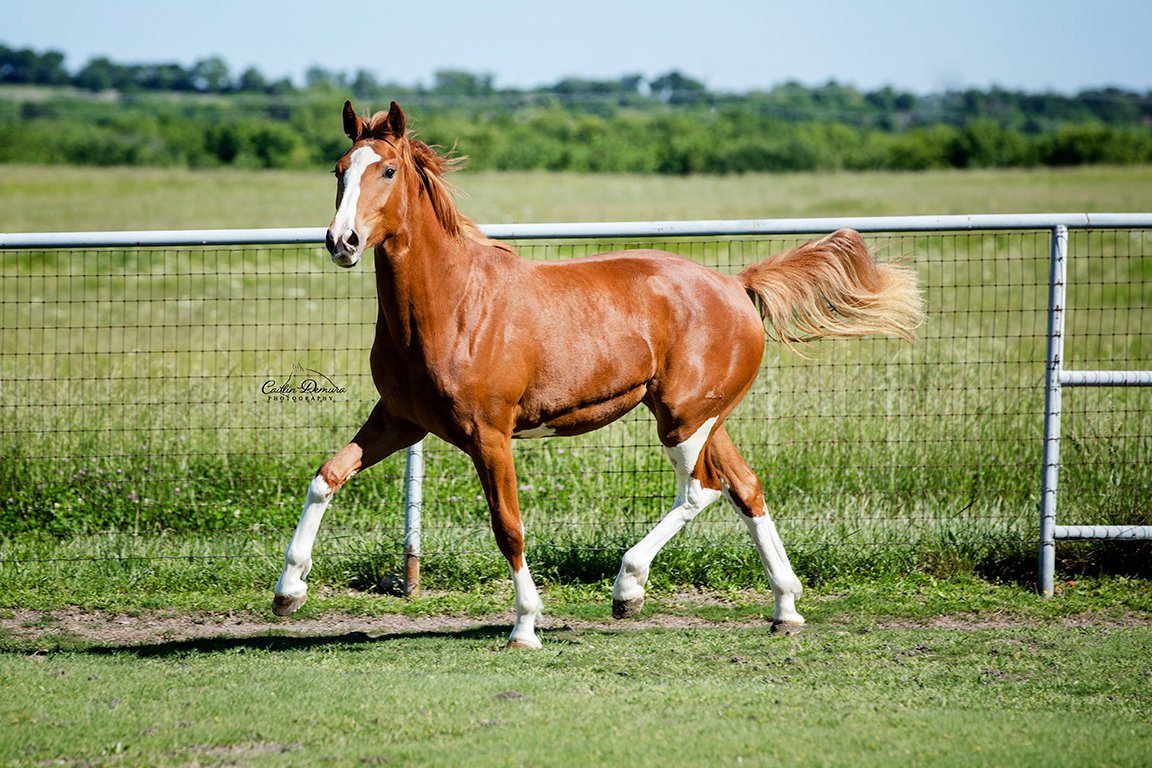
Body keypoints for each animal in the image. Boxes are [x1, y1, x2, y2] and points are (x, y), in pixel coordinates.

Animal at [272, 100, 924, 648]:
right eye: (339, 170)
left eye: (386, 171)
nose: (342, 241)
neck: (453, 305)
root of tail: (737, 285)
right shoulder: (402, 421)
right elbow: (326, 476)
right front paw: (288, 593)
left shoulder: (489, 434)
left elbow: (508, 527)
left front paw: (526, 627)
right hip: (703, 417)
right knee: (746, 488)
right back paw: (785, 609)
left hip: (683, 419)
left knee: (702, 490)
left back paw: (628, 588)